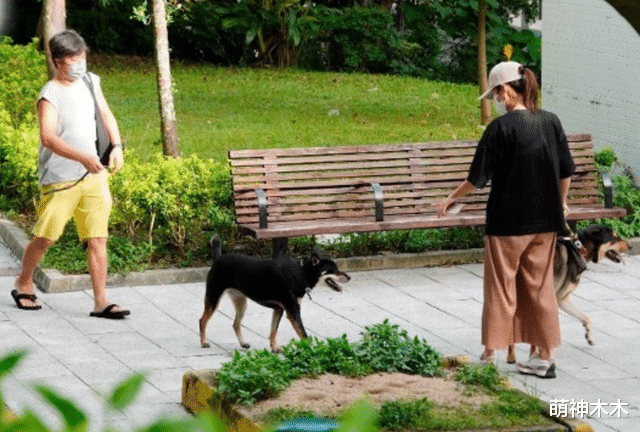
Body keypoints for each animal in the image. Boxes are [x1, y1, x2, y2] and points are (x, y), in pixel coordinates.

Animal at [199, 238, 350, 352]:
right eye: (333, 270)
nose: (349, 277)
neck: (300, 274)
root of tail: (218, 258)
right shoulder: (292, 312)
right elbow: (303, 334)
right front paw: (313, 351)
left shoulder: (279, 309)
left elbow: (273, 331)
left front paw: (274, 348)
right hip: (214, 298)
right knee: (202, 320)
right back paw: (204, 342)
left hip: (241, 302)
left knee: (236, 324)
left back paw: (243, 343)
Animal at [508, 224, 632, 362]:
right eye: (614, 238)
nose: (631, 246)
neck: (580, 249)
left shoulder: (562, 299)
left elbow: (586, 317)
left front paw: (589, 336)